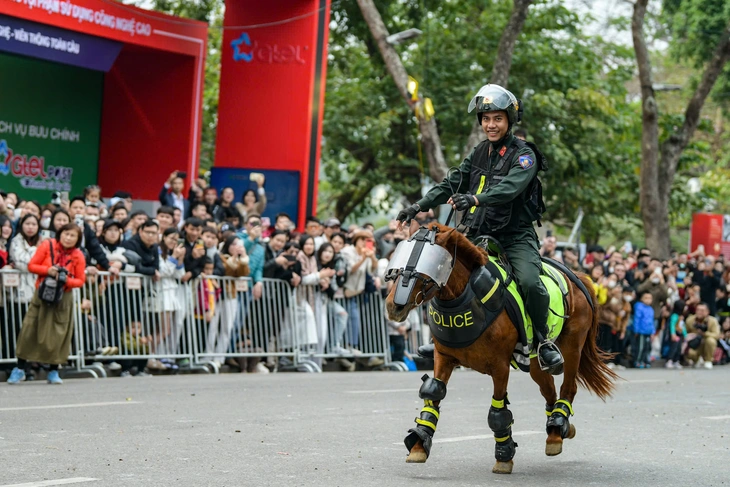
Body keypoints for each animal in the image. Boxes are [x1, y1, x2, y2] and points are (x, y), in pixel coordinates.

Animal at [384, 225, 616, 476]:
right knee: (549, 391)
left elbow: (497, 412)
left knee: (568, 387)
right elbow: (433, 393)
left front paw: (504, 455)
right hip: (535, 364)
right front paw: (419, 443)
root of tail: (578, 276)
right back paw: (557, 428)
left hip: (573, 347)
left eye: (432, 263)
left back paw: (558, 427)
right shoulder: (443, 357)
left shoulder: (499, 366)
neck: (467, 297)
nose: (393, 306)